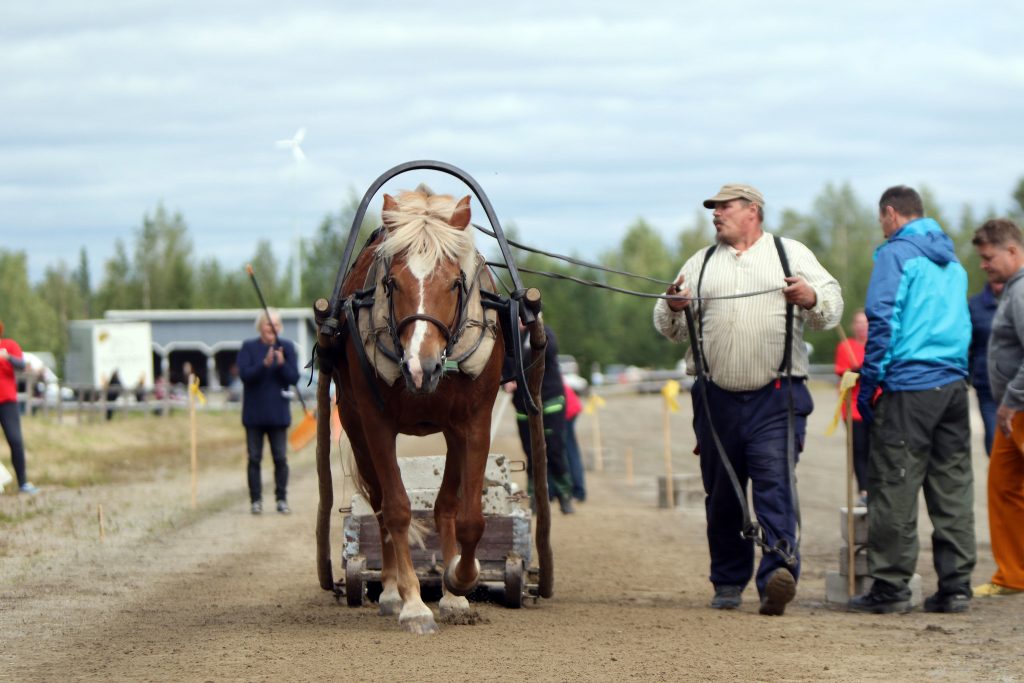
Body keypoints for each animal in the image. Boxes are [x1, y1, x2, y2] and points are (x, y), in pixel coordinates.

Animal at [329, 188, 501, 634]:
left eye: (455, 282)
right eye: (392, 283)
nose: (421, 367)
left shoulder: (473, 423)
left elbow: (468, 516)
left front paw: (459, 581)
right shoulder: (375, 424)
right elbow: (397, 509)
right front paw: (412, 604)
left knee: (445, 506)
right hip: (354, 425)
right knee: (378, 505)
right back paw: (391, 591)